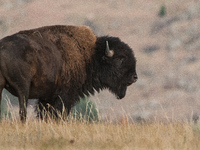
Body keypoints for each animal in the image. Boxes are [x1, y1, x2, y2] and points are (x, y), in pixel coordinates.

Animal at [0, 25, 137, 122]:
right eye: (120, 59)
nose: (134, 77)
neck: (90, 56)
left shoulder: (46, 97)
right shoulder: (64, 96)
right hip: (23, 88)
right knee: (22, 111)